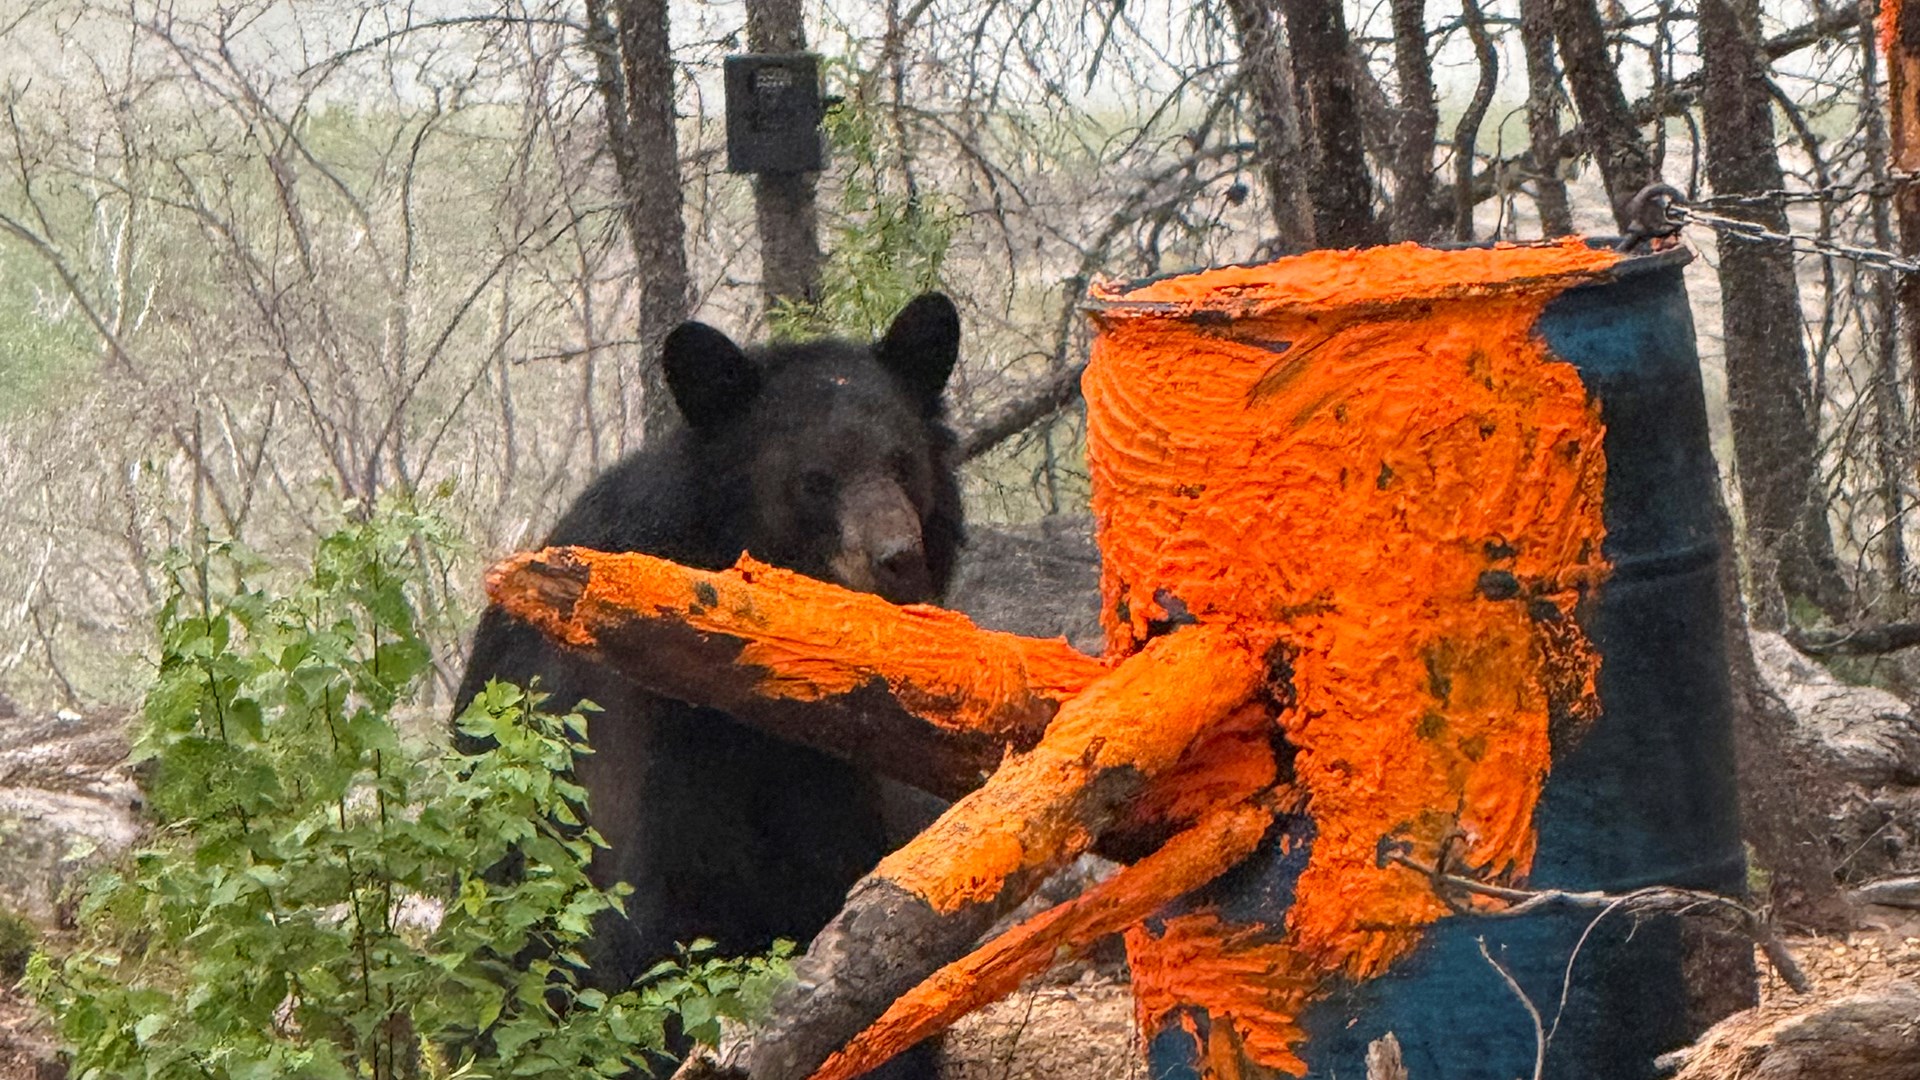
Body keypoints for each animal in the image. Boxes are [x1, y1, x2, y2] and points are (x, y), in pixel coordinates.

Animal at [452, 293, 963, 1077]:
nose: (898, 559)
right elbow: (650, 948)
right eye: (815, 479)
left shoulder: (838, 790)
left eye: (903, 463)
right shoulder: (643, 752)